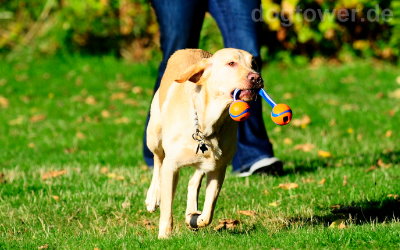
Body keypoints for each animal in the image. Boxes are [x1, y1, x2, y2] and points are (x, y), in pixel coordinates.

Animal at [145, 47, 264, 238]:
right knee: (157, 161)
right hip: (154, 134)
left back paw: (191, 211)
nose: (257, 78)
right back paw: (153, 196)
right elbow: (167, 206)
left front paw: (194, 218)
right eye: (231, 63)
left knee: (194, 180)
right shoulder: (171, 166)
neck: (207, 123)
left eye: (254, 64)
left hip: (207, 160)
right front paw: (164, 235)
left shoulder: (218, 168)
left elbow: (208, 211)